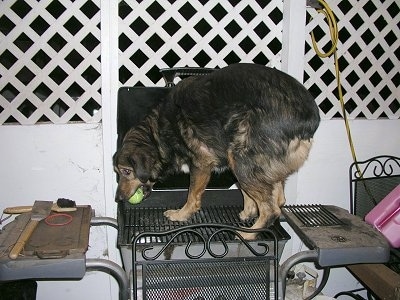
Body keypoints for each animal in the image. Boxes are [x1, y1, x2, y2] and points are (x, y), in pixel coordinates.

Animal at [114, 63, 320, 239]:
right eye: (118, 172)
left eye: (126, 171)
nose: (117, 198)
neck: (157, 133)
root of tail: (308, 119)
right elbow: (245, 194)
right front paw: (248, 210)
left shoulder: (201, 163)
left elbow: (192, 195)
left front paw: (182, 214)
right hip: (244, 160)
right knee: (278, 199)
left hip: (241, 160)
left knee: (271, 209)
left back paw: (248, 235)